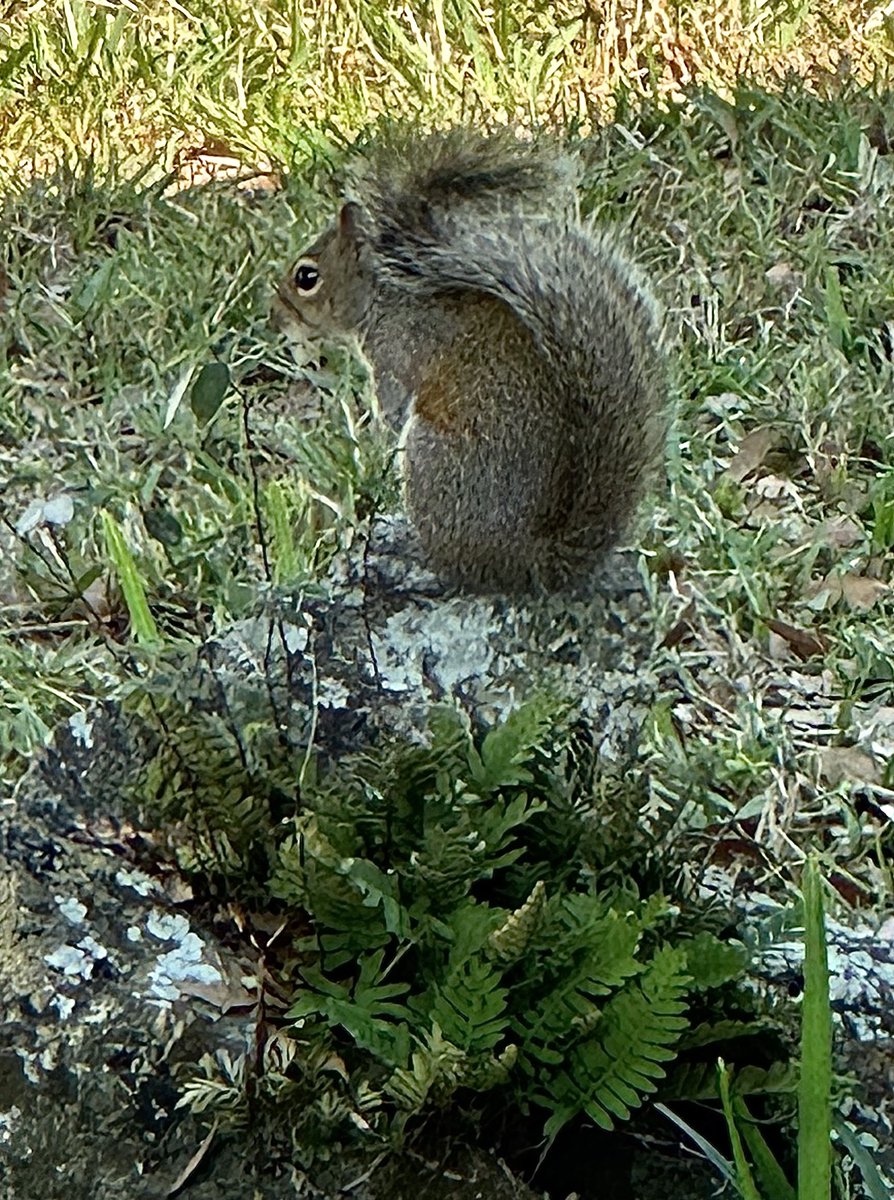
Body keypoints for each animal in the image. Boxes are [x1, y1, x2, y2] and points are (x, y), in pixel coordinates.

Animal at [274, 128, 668, 594]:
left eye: (307, 277)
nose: (276, 316)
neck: (383, 300)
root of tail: (527, 561)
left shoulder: (397, 355)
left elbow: (392, 409)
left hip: (429, 457)